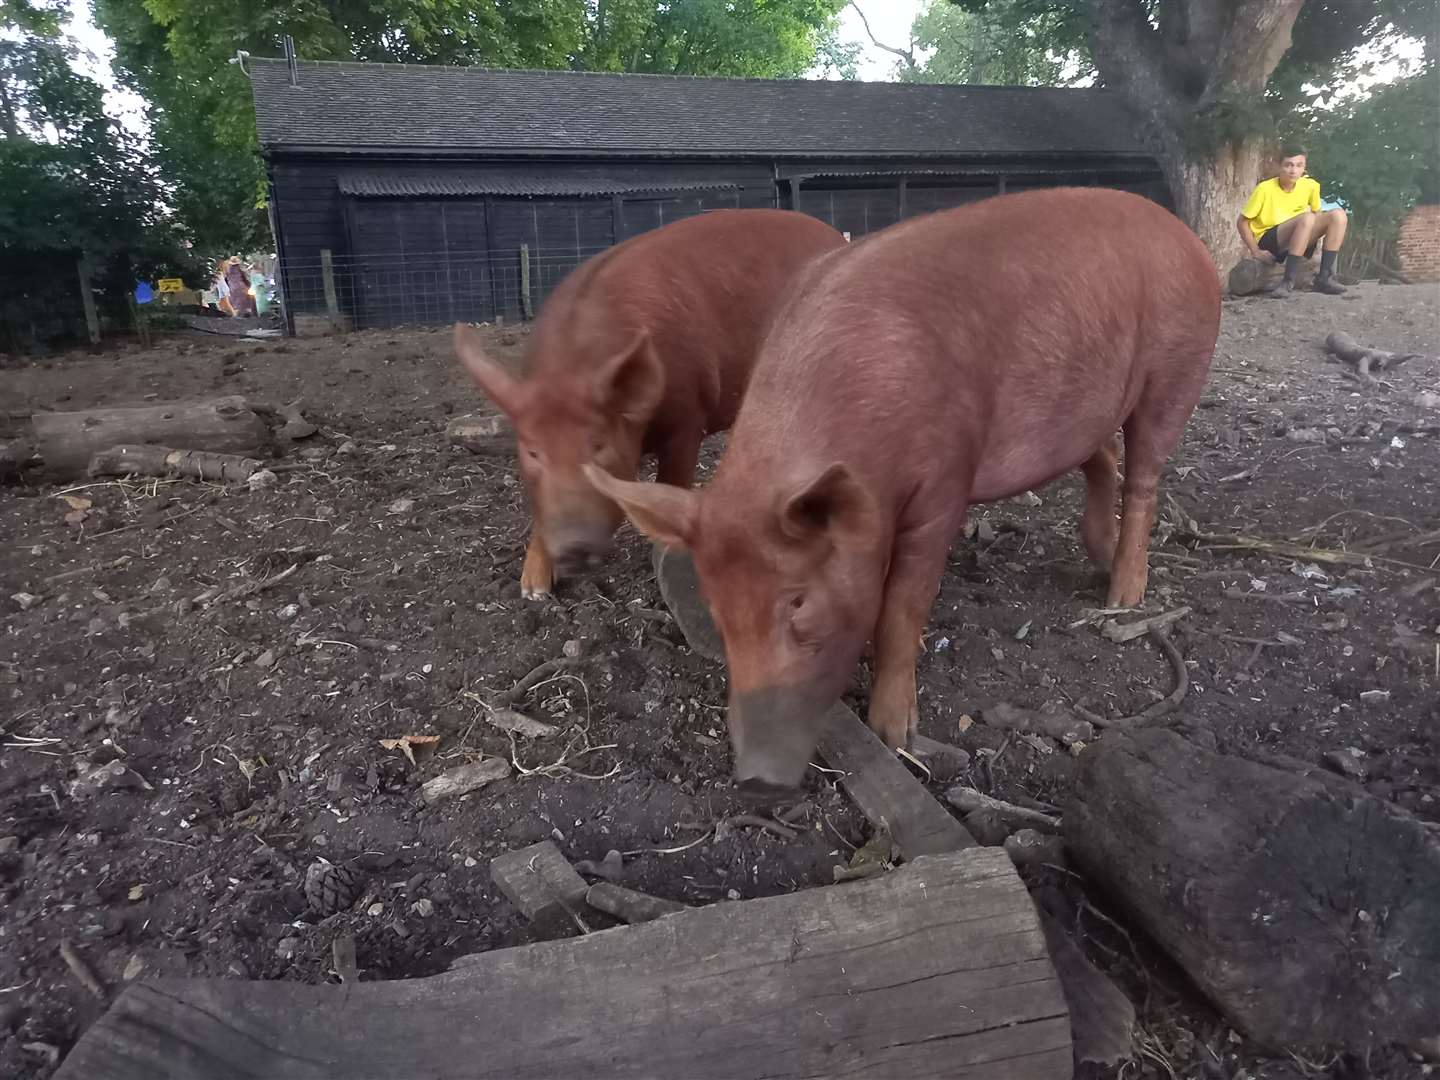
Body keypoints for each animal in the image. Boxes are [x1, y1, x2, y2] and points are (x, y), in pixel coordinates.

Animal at [455, 208, 846, 601]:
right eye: (534, 452)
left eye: (598, 445)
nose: (574, 547)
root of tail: (830, 234)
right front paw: (533, 590)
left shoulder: (689, 419)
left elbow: (672, 481)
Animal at [590, 188, 1221, 794]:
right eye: (717, 609)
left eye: (798, 602)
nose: (756, 784)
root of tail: (1183, 233)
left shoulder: (944, 484)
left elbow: (903, 604)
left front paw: (894, 734)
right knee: (1104, 456)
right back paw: (1099, 556)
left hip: (1176, 372)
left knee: (1144, 476)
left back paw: (1123, 598)